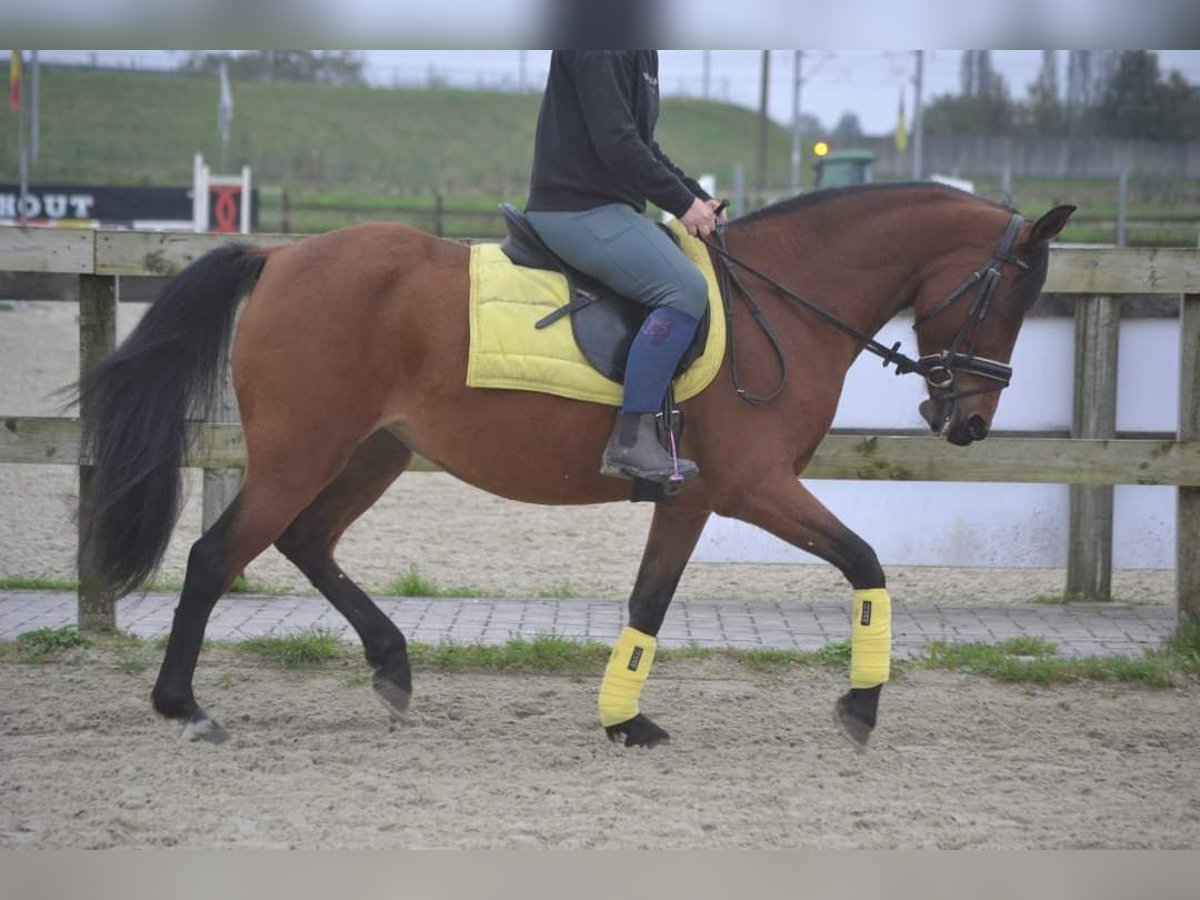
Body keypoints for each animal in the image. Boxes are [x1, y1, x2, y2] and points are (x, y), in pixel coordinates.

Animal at [77, 183, 1080, 748]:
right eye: (1010, 296)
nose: (969, 424)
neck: (784, 305)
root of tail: (281, 257)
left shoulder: (692, 500)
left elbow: (649, 602)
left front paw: (623, 719)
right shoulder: (754, 489)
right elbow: (866, 562)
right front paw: (862, 708)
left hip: (372, 452)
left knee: (308, 543)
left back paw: (393, 667)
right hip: (305, 450)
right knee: (216, 557)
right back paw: (185, 708)